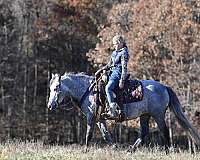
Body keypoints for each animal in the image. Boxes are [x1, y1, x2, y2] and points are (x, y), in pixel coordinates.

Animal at [47, 72, 200, 149]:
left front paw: (85, 150)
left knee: (165, 131)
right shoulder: (99, 119)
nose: (50, 105)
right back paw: (130, 151)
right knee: (144, 133)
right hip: (145, 115)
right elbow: (106, 135)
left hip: (158, 114)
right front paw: (115, 147)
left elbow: (88, 135)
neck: (90, 91)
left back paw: (167, 151)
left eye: (56, 88)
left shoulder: (91, 117)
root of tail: (164, 87)